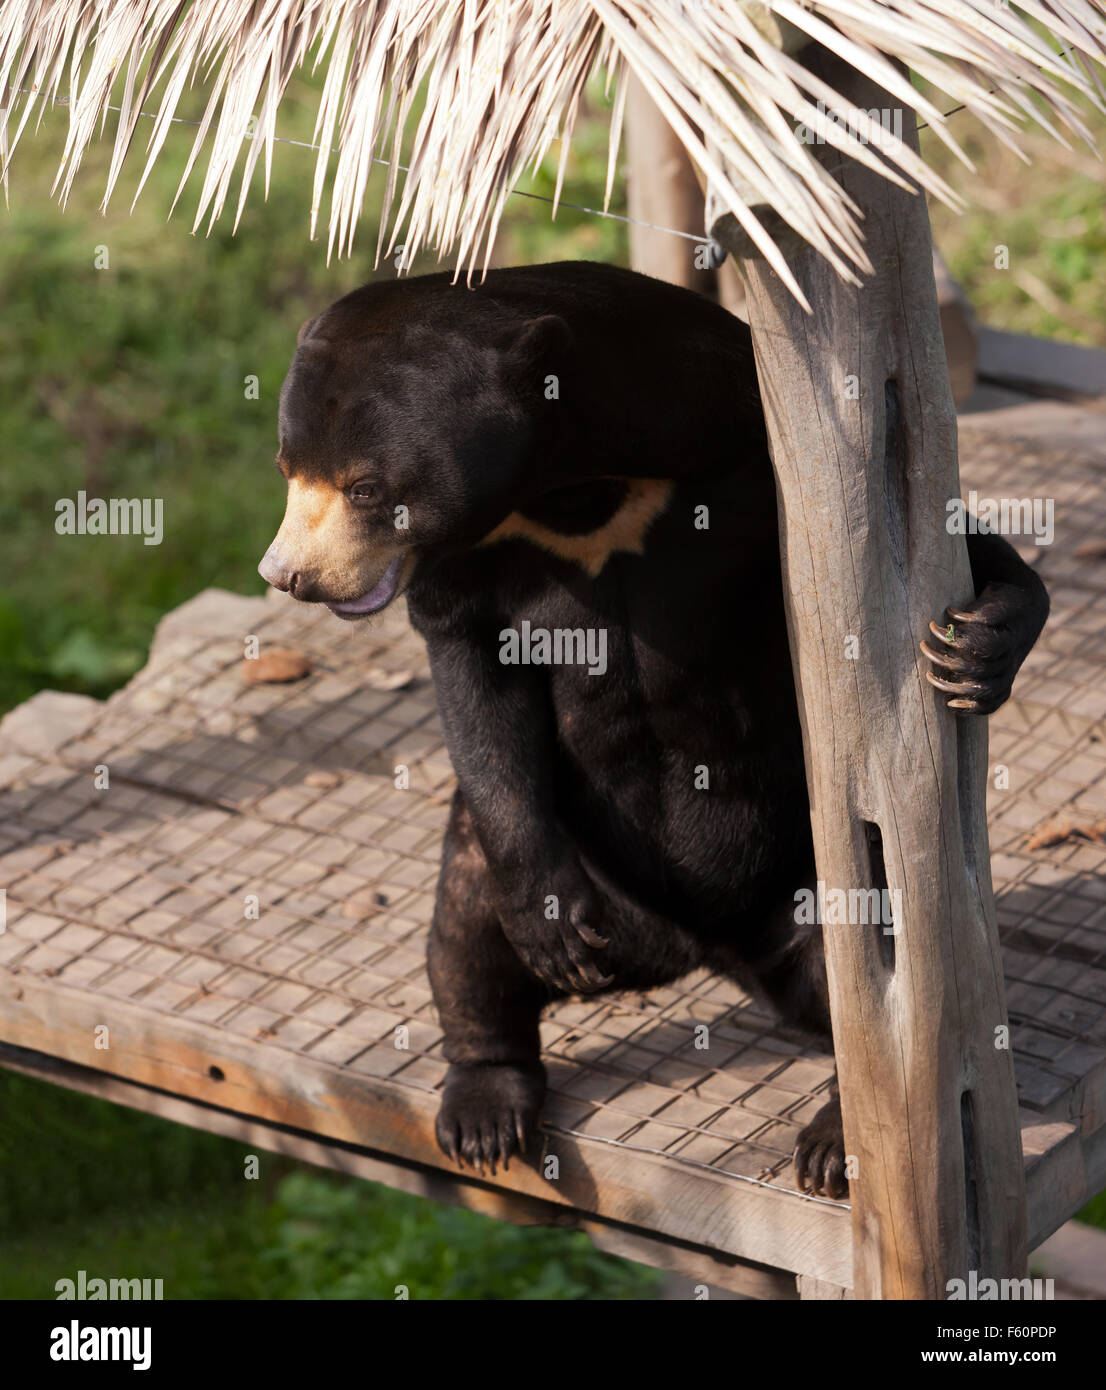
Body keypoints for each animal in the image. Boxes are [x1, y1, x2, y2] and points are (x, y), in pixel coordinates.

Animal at [259, 261, 1044, 1195]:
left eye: (367, 489)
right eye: (287, 468)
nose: (288, 576)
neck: (576, 484)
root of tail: (690, 950)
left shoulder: (744, 441)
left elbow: (944, 556)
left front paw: (975, 650)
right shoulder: (474, 558)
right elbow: (472, 679)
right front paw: (552, 931)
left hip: (813, 872)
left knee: (870, 957)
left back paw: (834, 1139)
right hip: (556, 864)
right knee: (467, 935)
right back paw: (486, 1107)